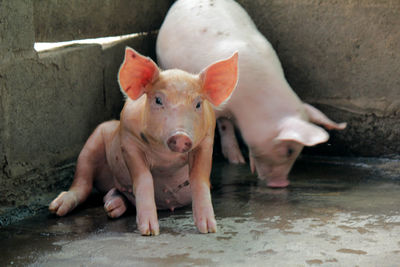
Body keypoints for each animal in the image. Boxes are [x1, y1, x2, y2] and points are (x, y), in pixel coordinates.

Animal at [49, 47, 238, 236]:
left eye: (198, 104)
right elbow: (144, 180)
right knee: (83, 180)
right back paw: (57, 208)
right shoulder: (128, 140)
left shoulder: (206, 141)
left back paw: (112, 205)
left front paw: (209, 229)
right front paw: (149, 231)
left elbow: (199, 179)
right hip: (94, 141)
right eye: (158, 100)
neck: (166, 159)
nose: (180, 136)